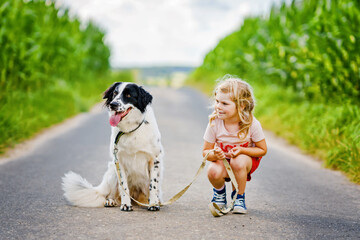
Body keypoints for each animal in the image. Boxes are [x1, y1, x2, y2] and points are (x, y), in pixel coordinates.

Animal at [62, 82, 163, 210]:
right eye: (115, 94)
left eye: (128, 95)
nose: (113, 104)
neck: (131, 130)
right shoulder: (119, 161)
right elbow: (124, 187)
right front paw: (126, 205)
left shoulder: (154, 160)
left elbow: (153, 186)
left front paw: (153, 204)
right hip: (112, 172)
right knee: (113, 194)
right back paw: (111, 201)